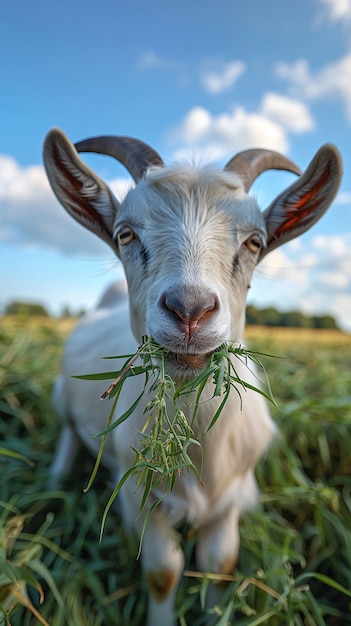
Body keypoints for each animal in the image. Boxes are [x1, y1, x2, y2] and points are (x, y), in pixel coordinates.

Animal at [42, 128, 342, 624]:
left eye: (255, 241)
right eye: (125, 233)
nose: (189, 310)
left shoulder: (230, 500)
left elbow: (220, 564)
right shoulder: (141, 495)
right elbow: (163, 571)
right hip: (62, 397)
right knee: (66, 433)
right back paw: (56, 481)